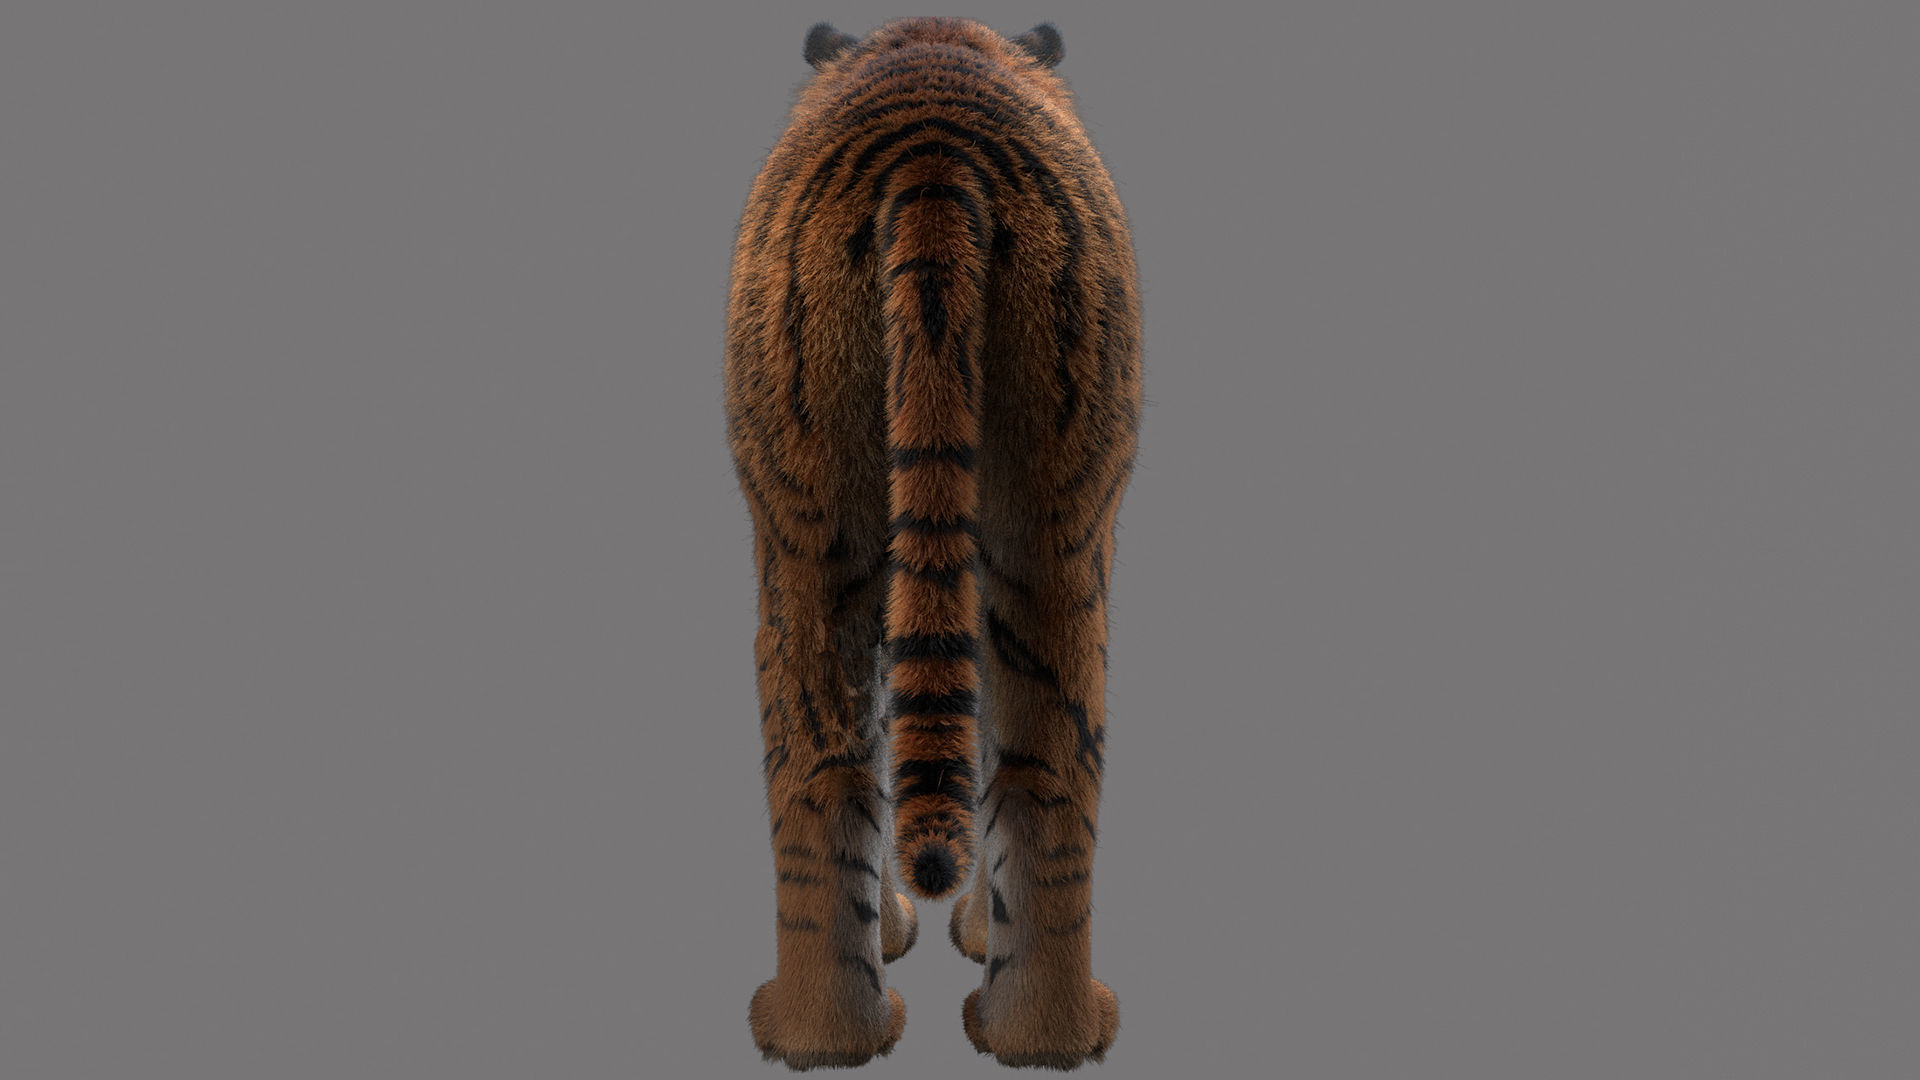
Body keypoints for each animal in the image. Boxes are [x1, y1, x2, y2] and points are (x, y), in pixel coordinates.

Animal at [723, 17, 1142, 1069]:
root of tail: (934, 154)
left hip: (817, 540)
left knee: (830, 769)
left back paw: (830, 1034)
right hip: (1046, 534)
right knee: (1033, 771)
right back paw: (1021, 1036)